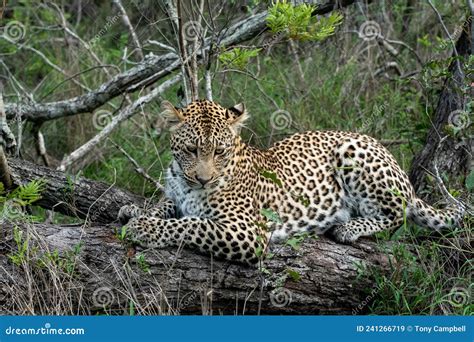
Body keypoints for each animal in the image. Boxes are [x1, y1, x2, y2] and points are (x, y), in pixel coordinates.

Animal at [116, 99, 464, 264]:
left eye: (220, 152)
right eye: (191, 150)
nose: (203, 179)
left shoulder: (246, 231)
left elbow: (191, 224)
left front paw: (143, 228)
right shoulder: (177, 194)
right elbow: (166, 204)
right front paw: (135, 210)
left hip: (352, 152)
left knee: (397, 215)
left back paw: (348, 227)